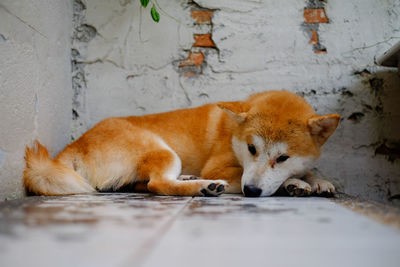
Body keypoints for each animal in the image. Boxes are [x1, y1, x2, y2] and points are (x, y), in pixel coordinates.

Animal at [23, 91, 340, 198]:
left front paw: (315, 180)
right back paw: (203, 186)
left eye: (282, 157)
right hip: (164, 150)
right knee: (157, 185)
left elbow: (306, 169)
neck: (232, 133)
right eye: (252, 149)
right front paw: (295, 183)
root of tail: (75, 145)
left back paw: (190, 179)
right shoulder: (222, 168)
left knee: (144, 184)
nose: (250, 192)